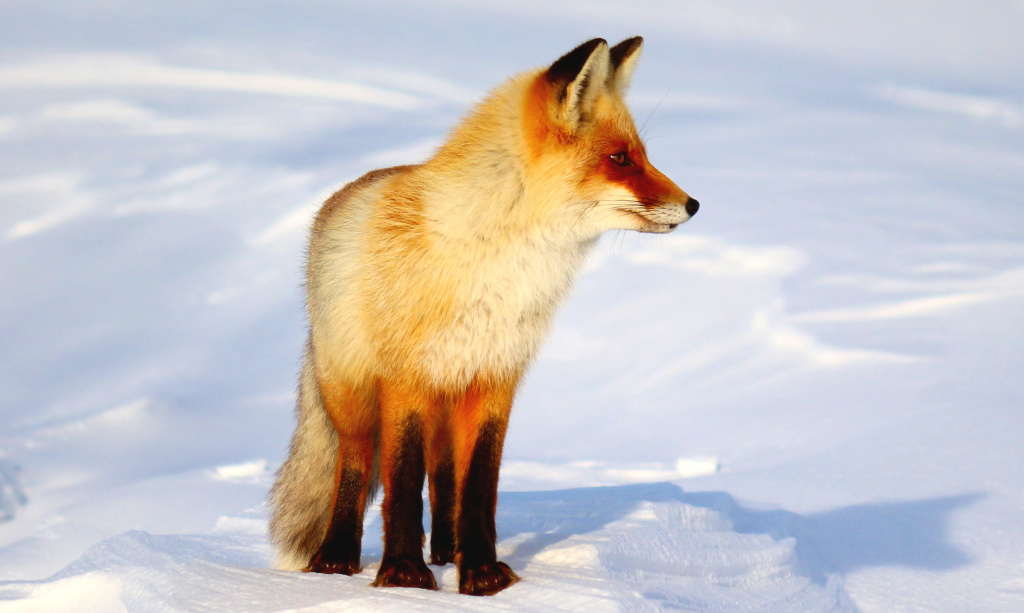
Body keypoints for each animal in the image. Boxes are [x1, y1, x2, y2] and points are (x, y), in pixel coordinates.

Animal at [266, 36, 696, 597]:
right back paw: (336, 558)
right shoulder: (406, 379)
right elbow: (402, 483)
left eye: (641, 156)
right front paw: (404, 575)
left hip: (447, 396)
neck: (493, 264)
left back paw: (446, 551)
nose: (692, 204)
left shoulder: (495, 375)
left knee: (443, 475)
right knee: (357, 466)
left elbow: (478, 488)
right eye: (619, 159)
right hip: (356, 396)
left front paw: (482, 574)